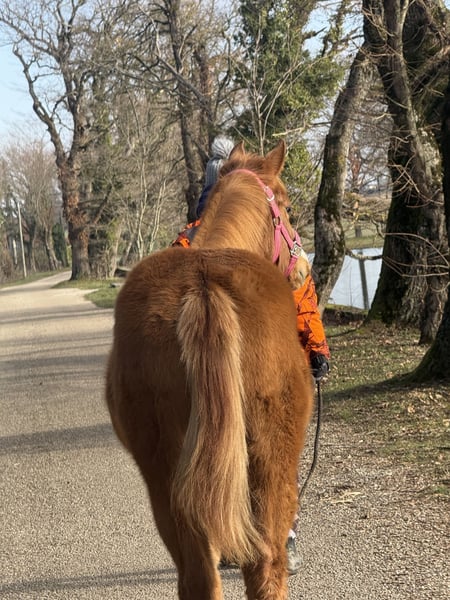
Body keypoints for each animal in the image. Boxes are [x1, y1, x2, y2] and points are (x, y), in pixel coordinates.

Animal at [105, 140, 314, 600]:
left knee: (199, 575)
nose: (304, 270)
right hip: (271, 465)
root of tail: (204, 286)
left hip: (166, 482)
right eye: (288, 207)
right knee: (267, 563)